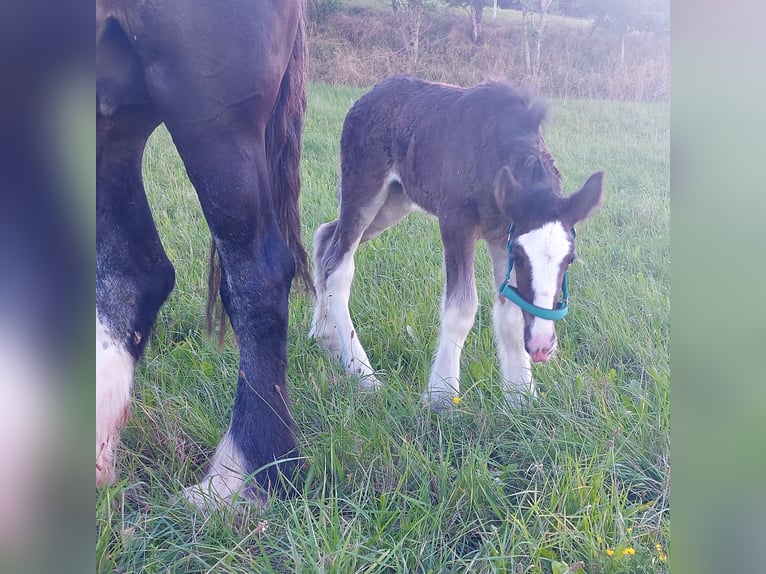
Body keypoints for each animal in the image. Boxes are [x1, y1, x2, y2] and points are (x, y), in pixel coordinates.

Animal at [310, 76, 604, 408]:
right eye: (520, 256)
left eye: (570, 260)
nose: (542, 345)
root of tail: (364, 99)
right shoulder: (455, 222)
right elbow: (461, 309)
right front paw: (441, 395)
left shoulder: (501, 233)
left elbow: (511, 315)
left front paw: (520, 397)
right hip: (363, 186)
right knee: (338, 266)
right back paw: (363, 374)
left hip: (394, 201)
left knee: (325, 238)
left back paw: (325, 337)